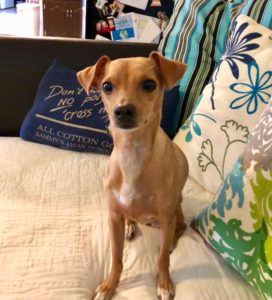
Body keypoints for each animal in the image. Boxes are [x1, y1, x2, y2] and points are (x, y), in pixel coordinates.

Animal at [78, 52, 189, 300]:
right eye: (106, 86)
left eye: (149, 84)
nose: (122, 110)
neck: (132, 153)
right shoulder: (113, 217)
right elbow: (116, 257)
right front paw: (109, 285)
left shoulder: (167, 217)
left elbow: (162, 259)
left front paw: (164, 284)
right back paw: (130, 225)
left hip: (176, 209)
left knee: (180, 228)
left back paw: (169, 242)